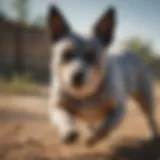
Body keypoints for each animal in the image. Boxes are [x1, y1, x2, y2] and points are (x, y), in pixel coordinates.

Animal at [48, 5, 159, 147]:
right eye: (66, 55)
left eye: (91, 56)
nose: (76, 75)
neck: (86, 95)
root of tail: (130, 52)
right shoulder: (57, 106)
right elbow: (63, 117)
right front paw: (68, 131)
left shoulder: (118, 109)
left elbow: (106, 126)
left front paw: (94, 137)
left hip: (145, 97)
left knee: (150, 116)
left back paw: (153, 133)